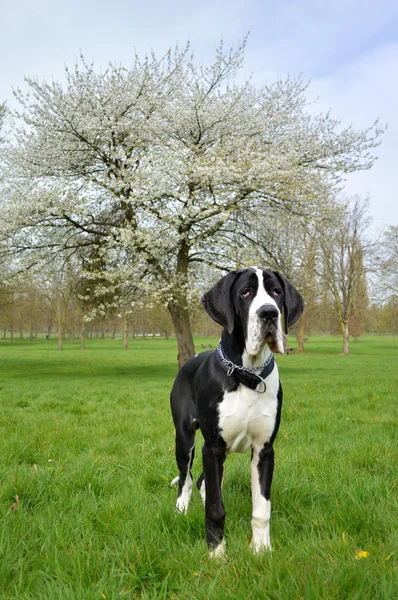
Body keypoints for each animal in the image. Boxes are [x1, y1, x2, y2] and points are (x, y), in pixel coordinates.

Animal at [169, 268, 304, 556]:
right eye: (245, 292)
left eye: (276, 292)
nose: (269, 313)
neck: (247, 374)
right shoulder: (212, 447)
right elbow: (215, 509)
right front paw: (216, 552)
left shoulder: (264, 449)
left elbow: (261, 508)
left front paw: (262, 549)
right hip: (185, 437)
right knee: (187, 478)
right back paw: (181, 509)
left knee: (204, 482)